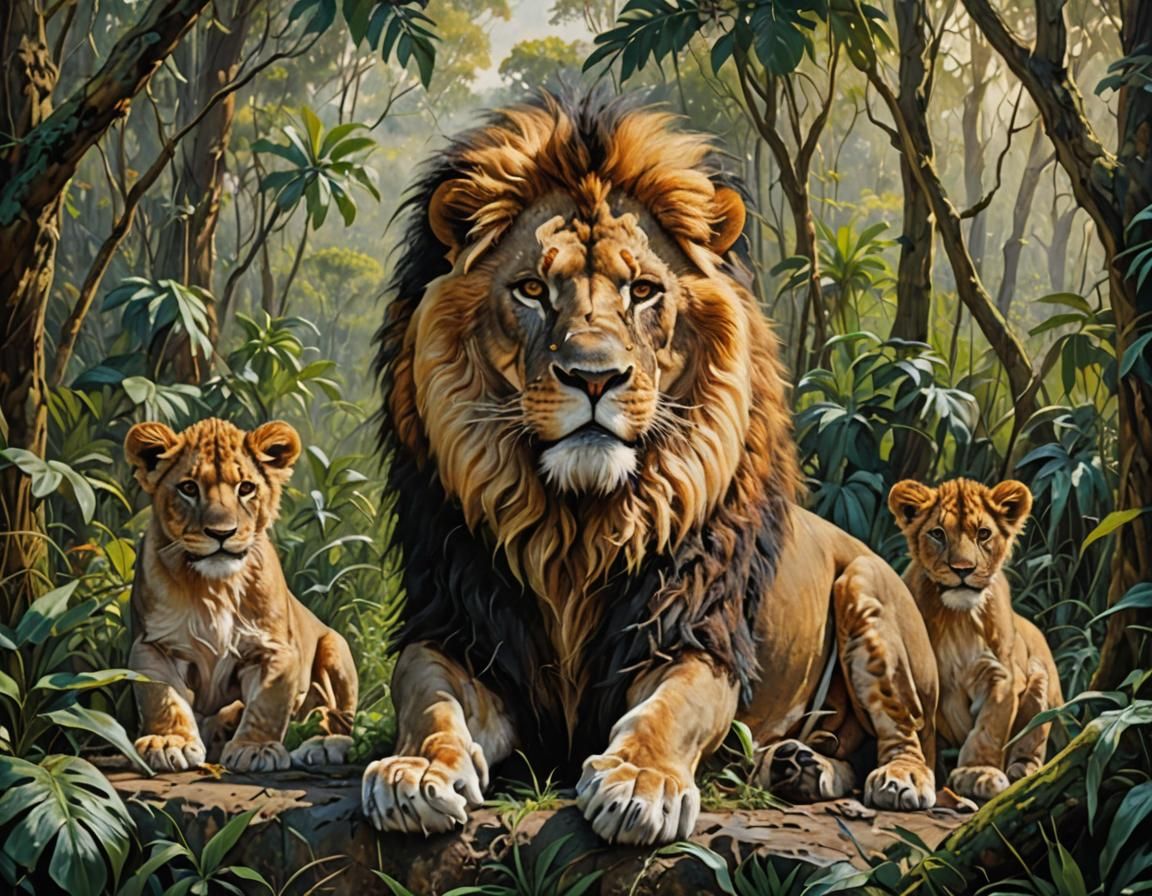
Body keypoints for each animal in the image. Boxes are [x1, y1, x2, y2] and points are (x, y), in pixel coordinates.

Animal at [124, 418, 358, 773]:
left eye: (246, 488)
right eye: (189, 488)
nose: (222, 533)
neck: (214, 589)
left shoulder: (276, 650)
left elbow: (268, 702)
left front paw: (255, 748)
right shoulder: (151, 645)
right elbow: (162, 697)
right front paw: (169, 743)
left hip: (336, 648)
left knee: (341, 719)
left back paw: (320, 744)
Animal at [364, 92, 939, 845]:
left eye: (641, 290)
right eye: (531, 290)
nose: (594, 376)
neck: (574, 527)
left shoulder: (694, 633)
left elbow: (670, 710)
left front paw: (640, 782)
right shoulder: (460, 628)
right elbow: (425, 695)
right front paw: (417, 770)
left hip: (869, 592)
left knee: (907, 733)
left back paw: (898, 779)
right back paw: (798, 766)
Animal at [888, 477, 1063, 801]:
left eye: (983, 533)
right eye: (937, 533)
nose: (963, 569)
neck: (958, 619)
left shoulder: (1002, 675)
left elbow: (989, 728)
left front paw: (977, 772)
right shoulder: (918, 674)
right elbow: (921, 729)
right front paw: (920, 772)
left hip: (1041, 682)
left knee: (1032, 737)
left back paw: (1022, 770)